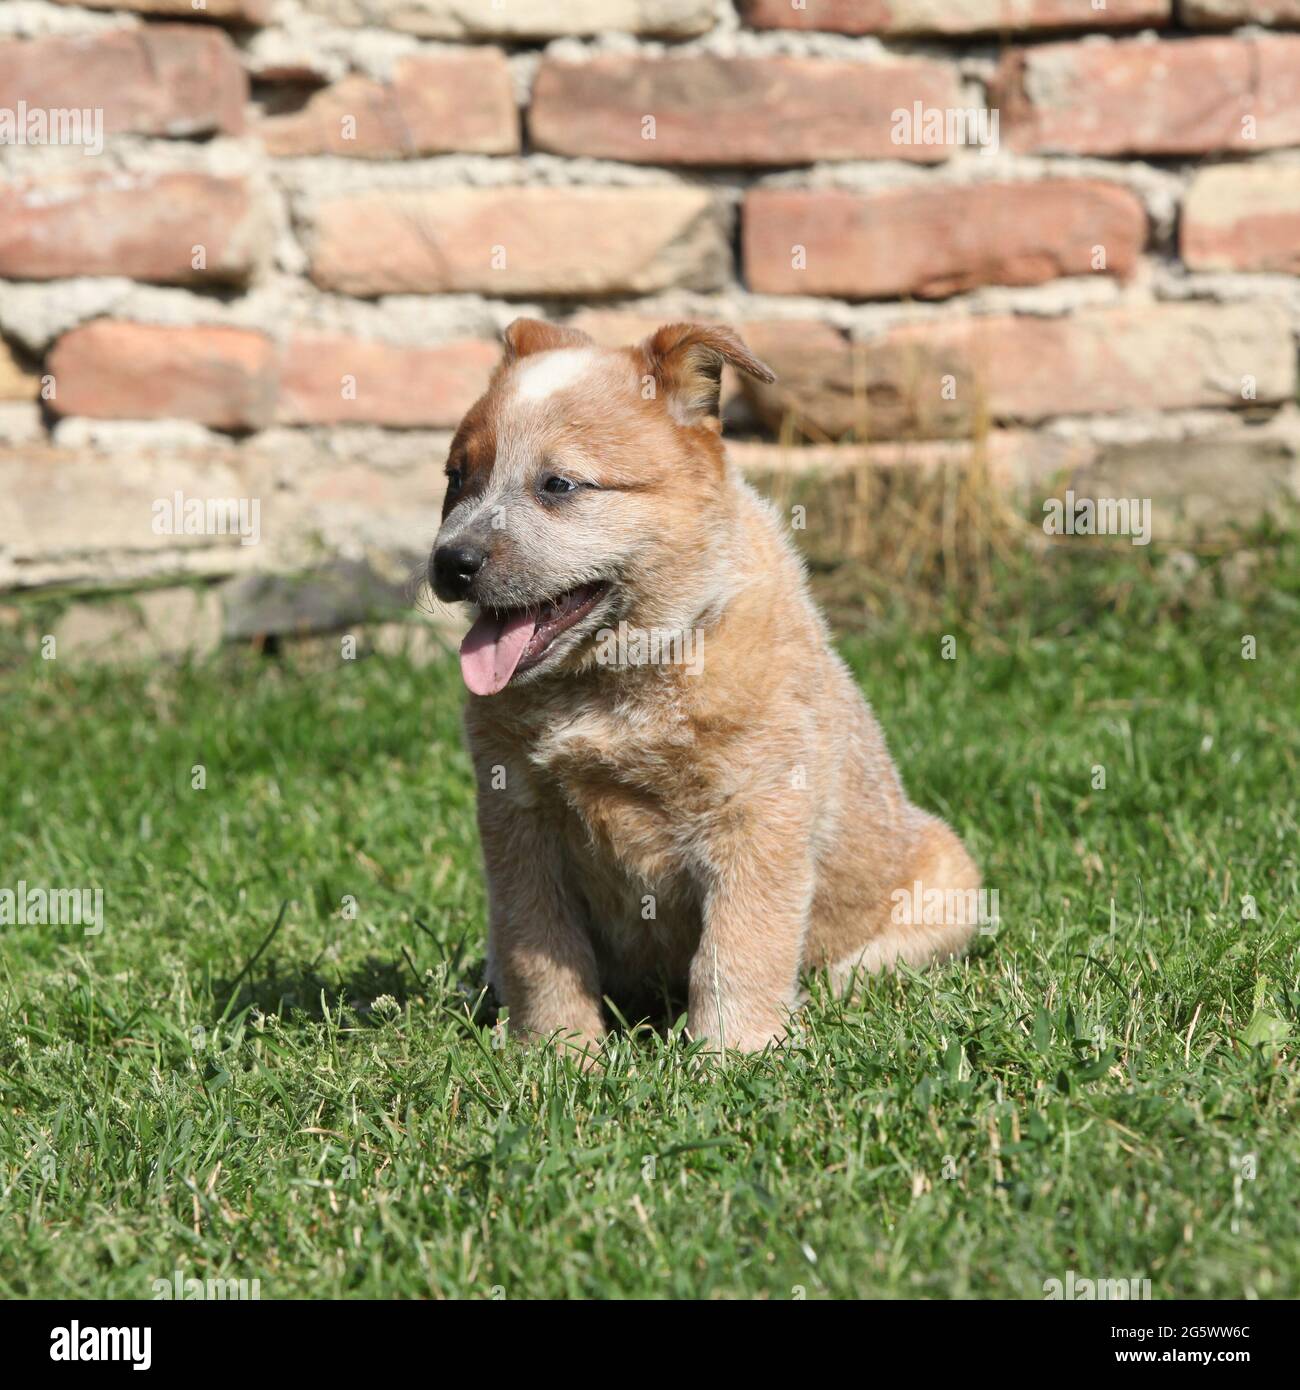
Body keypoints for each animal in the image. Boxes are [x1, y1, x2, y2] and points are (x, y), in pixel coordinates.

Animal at [431, 315, 978, 1050]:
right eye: (455, 477)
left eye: (558, 485)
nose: (449, 562)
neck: (618, 681)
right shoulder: (517, 816)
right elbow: (539, 950)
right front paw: (558, 1052)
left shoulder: (758, 811)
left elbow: (738, 948)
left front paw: (732, 1055)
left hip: (951, 876)